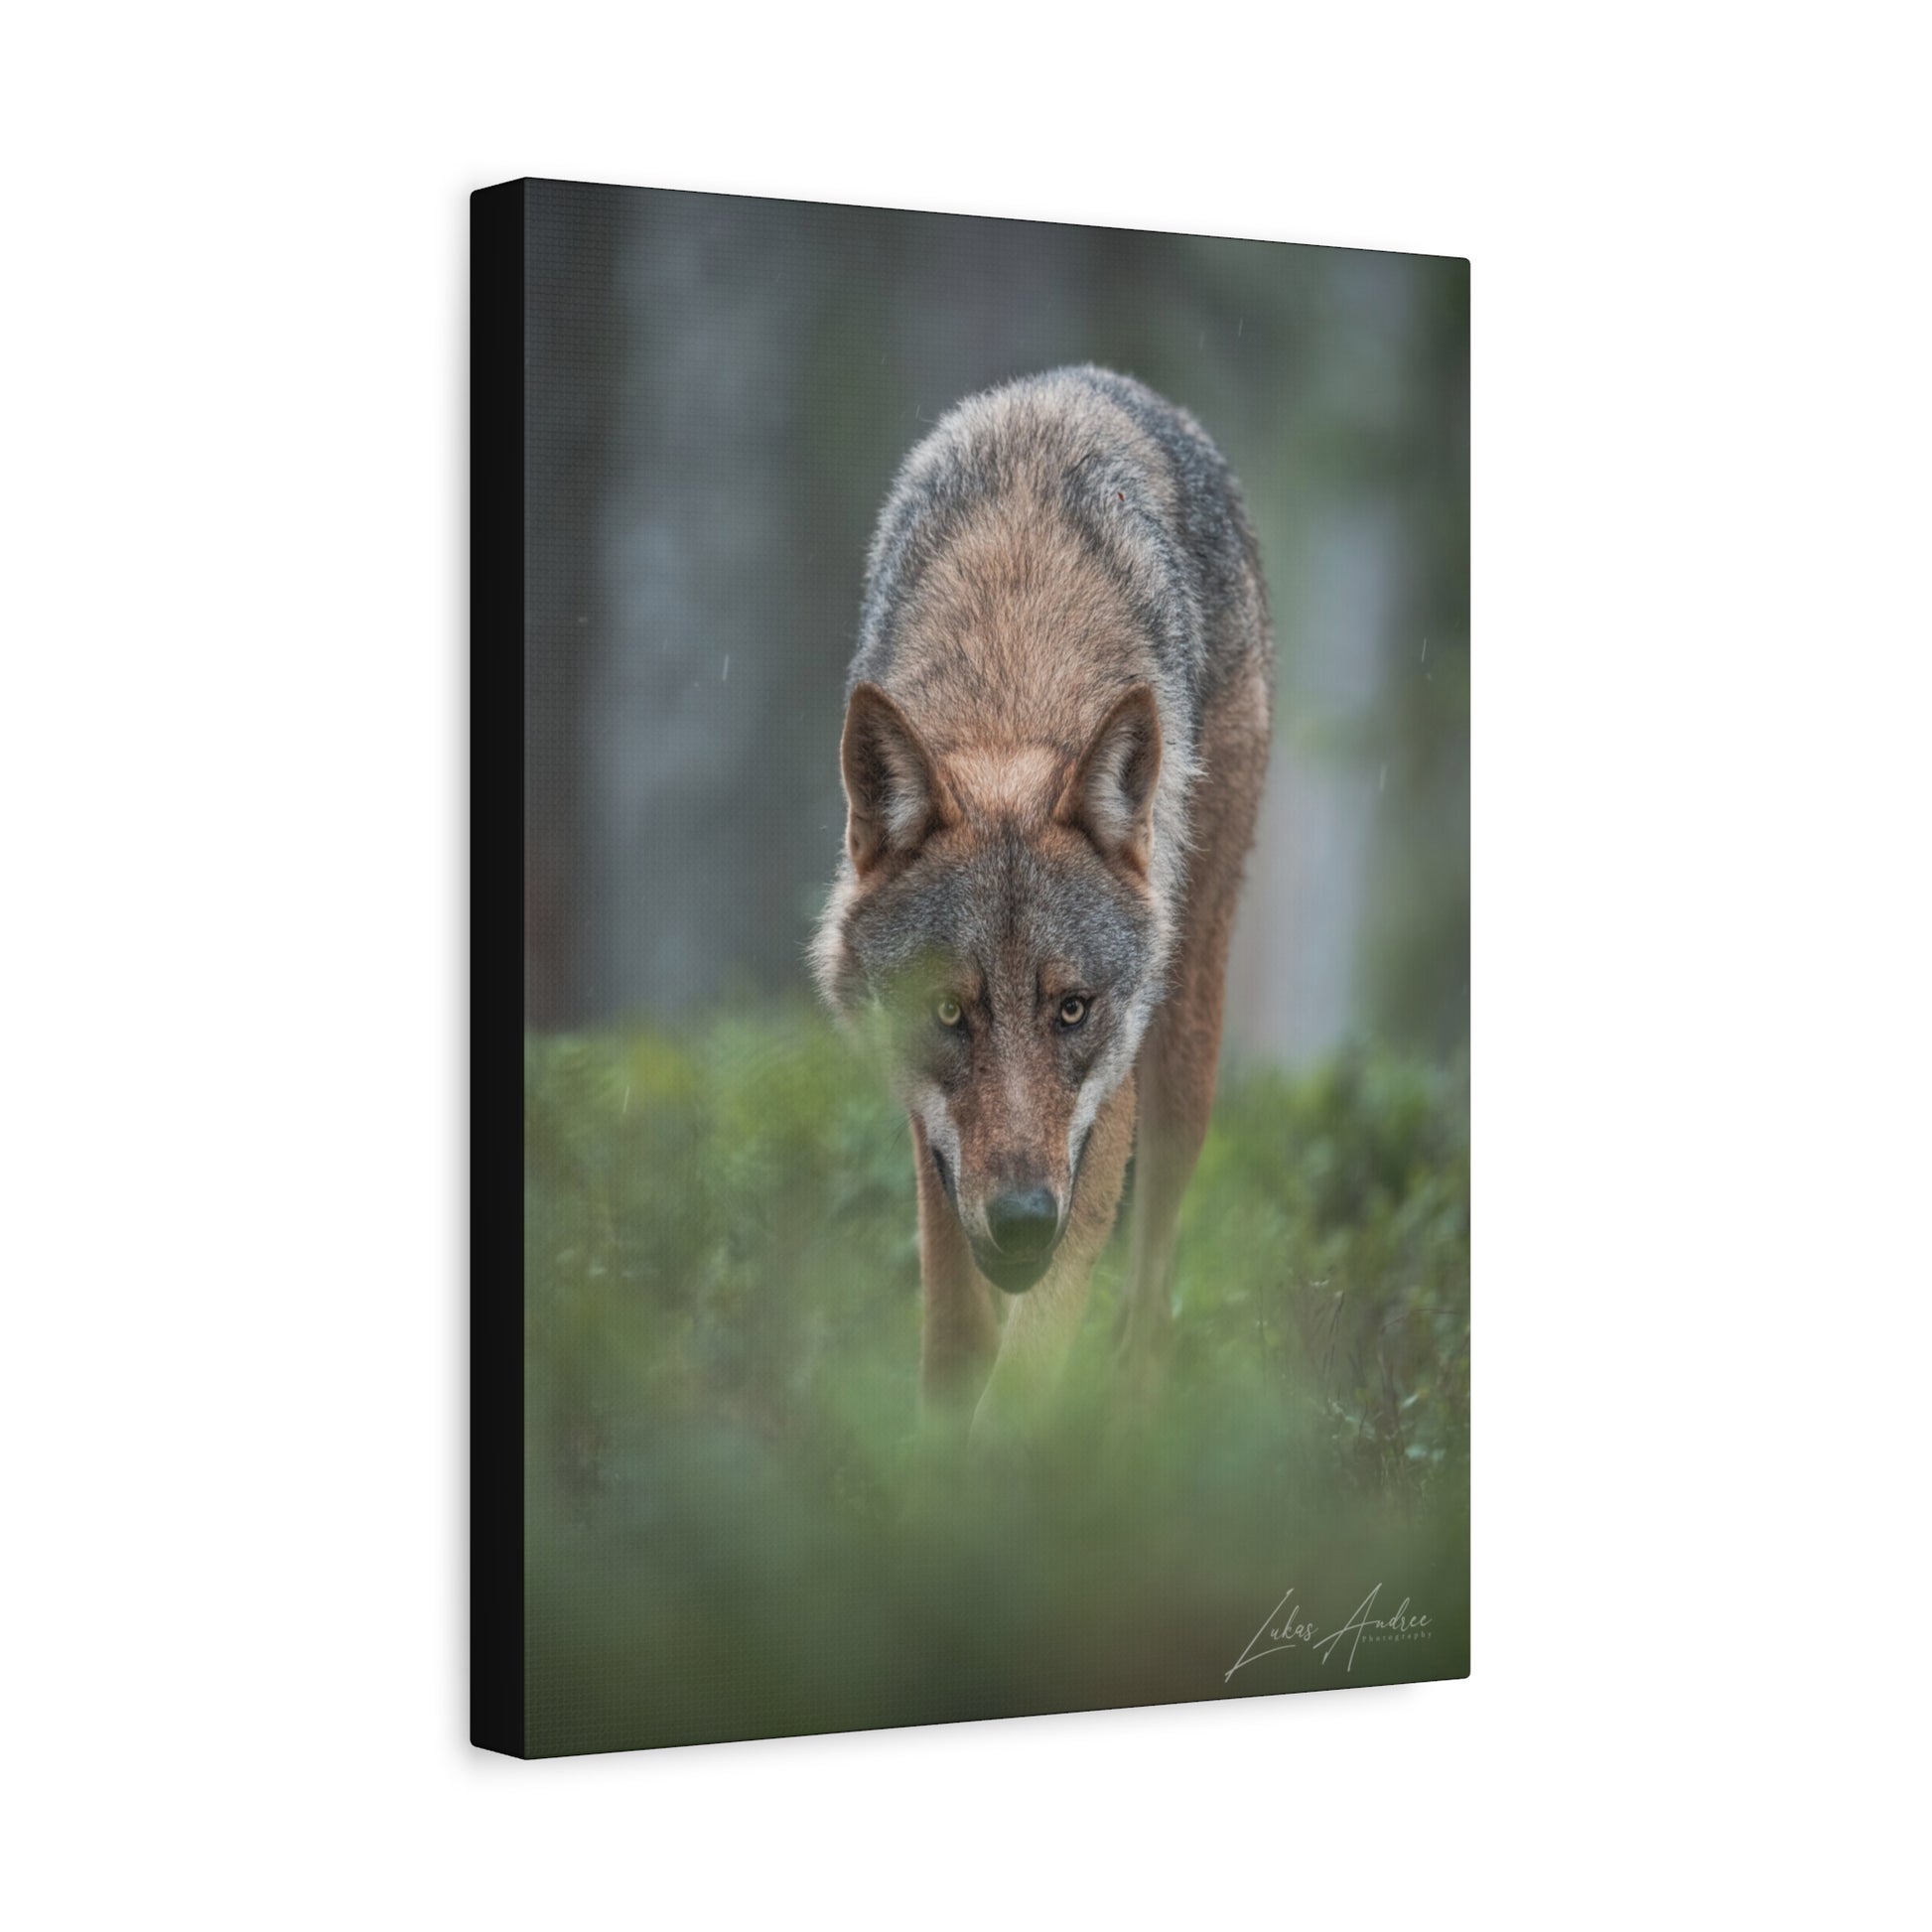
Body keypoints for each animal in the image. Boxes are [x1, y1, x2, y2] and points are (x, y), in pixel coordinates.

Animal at [813, 366, 1273, 1439]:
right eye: (949, 1012)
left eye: (1072, 1009)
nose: (1024, 1223)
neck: (1009, 686)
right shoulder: (931, 1134)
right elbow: (953, 1332)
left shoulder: (1103, 1112)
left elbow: (1026, 1373)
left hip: (1184, 1051)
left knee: (1149, 1300)